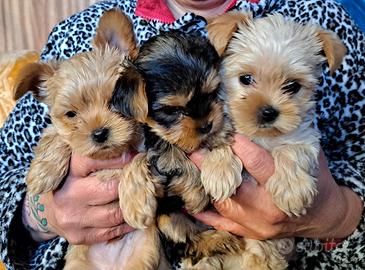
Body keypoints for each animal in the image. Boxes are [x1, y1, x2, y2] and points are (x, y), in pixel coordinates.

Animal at [14, 9, 165, 270]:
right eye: (71, 114)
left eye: (115, 101)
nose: (99, 133)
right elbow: (56, 135)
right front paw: (42, 174)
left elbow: (137, 159)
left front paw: (136, 203)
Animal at [111, 31, 284, 270]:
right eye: (171, 110)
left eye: (211, 93)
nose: (206, 125)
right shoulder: (158, 146)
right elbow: (166, 155)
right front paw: (195, 191)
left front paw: (218, 143)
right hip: (167, 217)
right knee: (188, 239)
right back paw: (219, 240)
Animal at [206, 12, 346, 218]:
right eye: (246, 79)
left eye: (292, 86)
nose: (268, 112)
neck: (262, 135)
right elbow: (218, 138)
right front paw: (219, 172)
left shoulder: (304, 137)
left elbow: (291, 151)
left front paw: (291, 189)